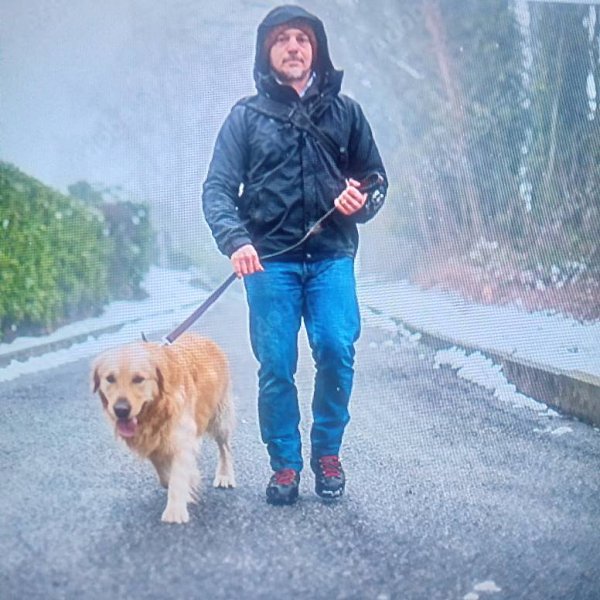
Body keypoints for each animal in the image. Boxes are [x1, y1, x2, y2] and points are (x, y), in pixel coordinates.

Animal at [91, 333, 235, 524]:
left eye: (138, 379)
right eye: (110, 378)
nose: (121, 410)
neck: (156, 410)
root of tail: (202, 336)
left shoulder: (183, 439)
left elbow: (177, 477)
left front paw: (175, 511)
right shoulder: (152, 443)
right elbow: (166, 475)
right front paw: (187, 486)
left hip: (220, 417)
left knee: (225, 447)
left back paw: (225, 475)